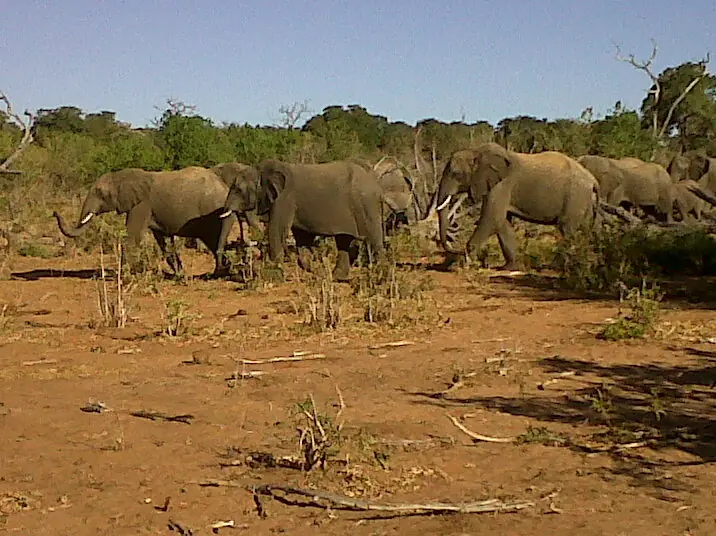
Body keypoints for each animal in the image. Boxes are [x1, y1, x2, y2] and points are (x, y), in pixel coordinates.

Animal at [53, 166, 237, 276]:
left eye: (100, 192)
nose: (54, 212)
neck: (123, 176)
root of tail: (224, 186)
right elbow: (163, 241)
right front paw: (180, 274)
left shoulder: (141, 205)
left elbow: (133, 236)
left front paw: (123, 274)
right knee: (213, 241)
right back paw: (223, 271)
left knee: (215, 239)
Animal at [219, 159, 385, 281]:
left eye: (238, 190)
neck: (260, 170)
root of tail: (376, 185)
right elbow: (302, 237)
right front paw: (316, 270)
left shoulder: (284, 198)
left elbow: (276, 230)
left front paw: (274, 276)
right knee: (343, 240)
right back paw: (336, 277)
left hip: (366, 204)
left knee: (373, 239)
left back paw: (381, 275)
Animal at [434, 143, 625, 271]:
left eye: (456, 174)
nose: (454, 248)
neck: (476, 151)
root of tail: (593, 181)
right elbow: (503, 222)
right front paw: (508, 268)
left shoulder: (502, 185)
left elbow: (492, 219)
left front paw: (460, 266)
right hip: (586, 201)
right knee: (590, 229)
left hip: (575, 197)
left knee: (568, 228)